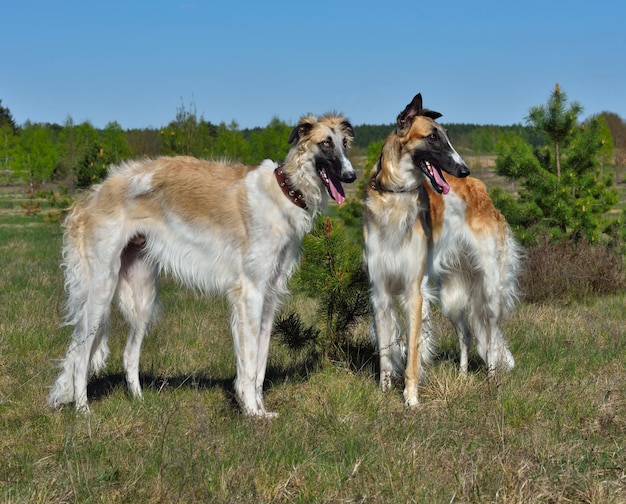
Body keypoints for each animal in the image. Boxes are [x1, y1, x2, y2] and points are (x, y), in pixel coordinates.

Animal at [50, 114, 354, 418]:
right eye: (325, 143)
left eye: (345, 144)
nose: (352, 176)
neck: (284, 192)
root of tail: (93, 194)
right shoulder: (251, 291)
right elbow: (250, 362)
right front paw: (251, 412)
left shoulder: (270, 295)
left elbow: (260, 363)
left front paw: (261, 411)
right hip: (101, 286)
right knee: (79, 354)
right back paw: (83, 411)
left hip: (142, 294)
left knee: (128, 354)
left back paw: (139, 400)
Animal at [360, 94, 468, 408]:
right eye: (432, 137)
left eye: (446, 136)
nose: (464, 170)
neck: (395, 197)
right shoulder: (380, 292)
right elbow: (385, 352)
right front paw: (384, 390)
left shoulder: (414, 292)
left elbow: (412, 354)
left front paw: (411, 397)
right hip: (449, 292)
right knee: (465, 333)